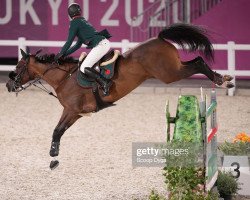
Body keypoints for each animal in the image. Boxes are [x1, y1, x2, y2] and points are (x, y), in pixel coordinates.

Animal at [4, 23, 233, 167]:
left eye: (18, 66)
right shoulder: (74, 113)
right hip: (174, 68)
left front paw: (53, 155)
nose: (8, 85)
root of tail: (159, 39)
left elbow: (57, 131)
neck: (63, 77)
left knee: (198, 62)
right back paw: (224, 78)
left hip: (169, 74)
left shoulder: (72, 110)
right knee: (195, 61)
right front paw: (54, 155)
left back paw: (222, 80)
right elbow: (58, 131)